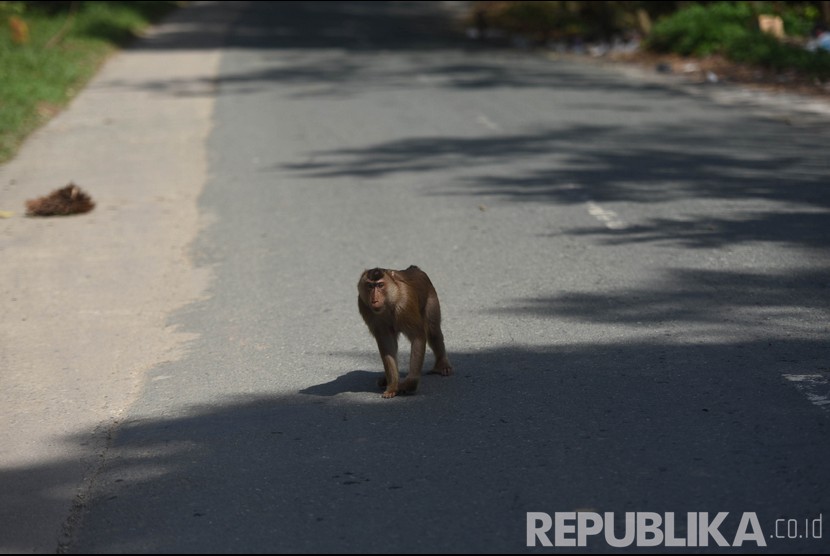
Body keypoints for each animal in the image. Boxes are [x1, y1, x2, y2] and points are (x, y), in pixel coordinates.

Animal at [356, 268, 452, 398]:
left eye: (380, 285)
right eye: (370, 286)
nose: (374, 299)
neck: (389, 302)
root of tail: (413, 269)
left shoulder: (405, 304)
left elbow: (418, 337)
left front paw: (409, 384)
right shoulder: (365, 307)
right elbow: (387, 343)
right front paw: (392, 386)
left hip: (431, 297)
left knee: (433, 331)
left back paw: (441, 365)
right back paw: (386, 380)